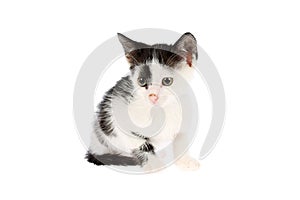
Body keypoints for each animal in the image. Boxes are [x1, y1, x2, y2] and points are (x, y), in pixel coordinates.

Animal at [85, 32, 200, 170]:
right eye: (141, 81)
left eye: (167, 81)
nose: (152, 96)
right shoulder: (118, 111)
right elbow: (141, 143)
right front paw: (154, 163)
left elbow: (181, 138)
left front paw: (185, 160)